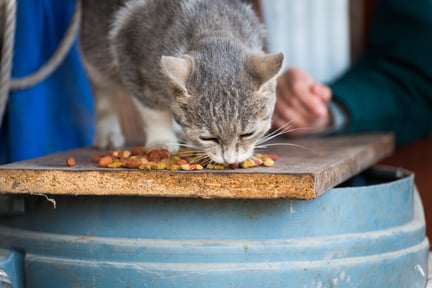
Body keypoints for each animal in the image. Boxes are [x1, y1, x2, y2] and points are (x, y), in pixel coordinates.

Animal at [79, 0, 284, 164]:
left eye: (247, 134)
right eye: (208, 138)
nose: (229, 160)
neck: (212, 24)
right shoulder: (132, 62)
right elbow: (154, 113)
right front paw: (161, 141)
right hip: (96, 53)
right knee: (104, 93)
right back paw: (107, 134)